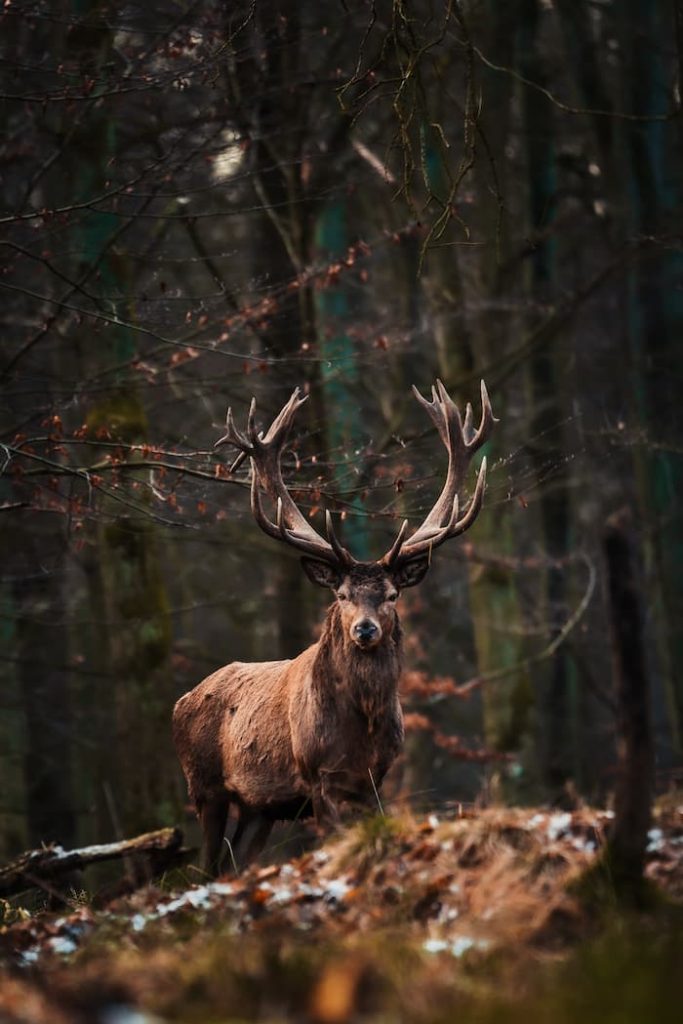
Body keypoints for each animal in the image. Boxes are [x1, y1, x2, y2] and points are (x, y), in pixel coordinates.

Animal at [169, 378, 491, 872]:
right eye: (341, 596)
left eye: (392, 595)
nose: (365, 630)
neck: (360, 729)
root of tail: (179, 702)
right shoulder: (318, 776)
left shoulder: (373, 780)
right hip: (204, 787)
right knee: (204, 866)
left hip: (261, 808)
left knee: (234, 862)